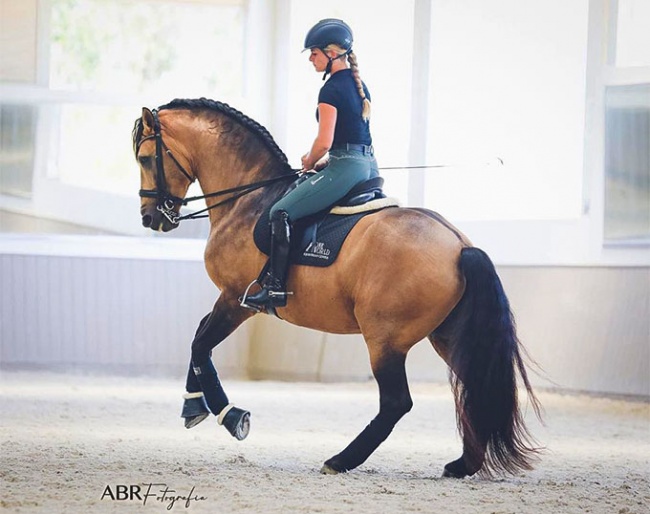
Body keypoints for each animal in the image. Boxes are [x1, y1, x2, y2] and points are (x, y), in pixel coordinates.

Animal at [132, 98, 540, 478]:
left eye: (146, 158)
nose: (150, 218)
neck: (248, 200)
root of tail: (459, 245)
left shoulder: (237, 299)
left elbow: (201, 343)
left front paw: (231, 416)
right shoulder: (233, 300)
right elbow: (199, 337)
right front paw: (193, 403)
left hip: (384, 339)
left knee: (397, 403)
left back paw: (341, 460)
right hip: (446, 334)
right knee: (476, 388)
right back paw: (462, 464)